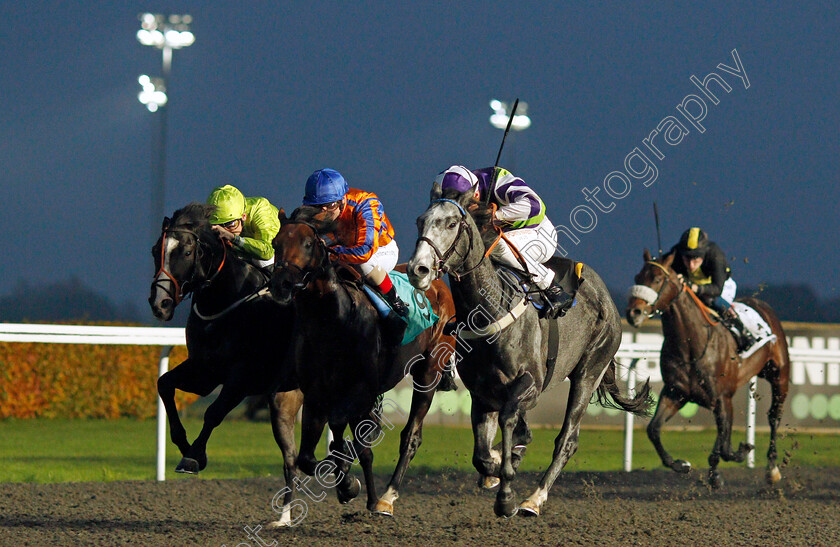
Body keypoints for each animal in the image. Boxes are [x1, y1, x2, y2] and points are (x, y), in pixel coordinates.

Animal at [149, 202, 304, 524]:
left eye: (186, 252)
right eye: (156, 249)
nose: (160, 304)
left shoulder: (242, 378)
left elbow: (213, 413)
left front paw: (193, 457)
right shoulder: (204, 371)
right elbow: (164, 384)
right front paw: (187, 447)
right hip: (283, 399)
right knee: (290, 459)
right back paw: (284, 516)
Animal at [270, 208, 456, 520]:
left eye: (308, 244)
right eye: (275, 243)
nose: (280, 284)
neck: (332, 318)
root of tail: (437, 281)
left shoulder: (359, 390)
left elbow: (346, 436)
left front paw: (349, 482)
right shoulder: (317, 392)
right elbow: (308, 456)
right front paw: (347, 482)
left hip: (428, 372)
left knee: (411, 436)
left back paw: (386, 499)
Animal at [406, 185, 648, 520]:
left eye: (452, 223)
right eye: (420, 221)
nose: (418, 269)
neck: (491, 309)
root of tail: (606, 297)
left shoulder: (530, 384)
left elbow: (509, 422)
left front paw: (506, 493)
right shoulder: (482, 393)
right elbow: (482, 454)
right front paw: (497, 466)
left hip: (589, 372)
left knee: (567, 440)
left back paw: (533, 499)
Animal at [628, 248, 792, 488]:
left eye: (657, 279)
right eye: (637, 277)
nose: (633, 312)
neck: (690, 344)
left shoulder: (722, 397)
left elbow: (724, 447)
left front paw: (740, 453)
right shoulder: (676, 392)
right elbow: (654, 430)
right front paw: (682, 465)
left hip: (779, 375)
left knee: (774, 417)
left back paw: (772, 469)